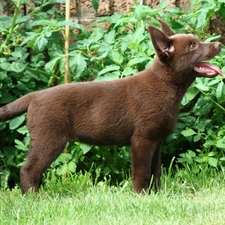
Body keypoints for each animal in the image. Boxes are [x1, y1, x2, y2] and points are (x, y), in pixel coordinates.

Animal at [0, 18, 223, 193]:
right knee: (28, 170)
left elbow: (156, 171)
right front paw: (142, 195)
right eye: (193, 46)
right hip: (49, 139)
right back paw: (34, 197)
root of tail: (33, 96)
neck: (165, 85)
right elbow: (142, 172)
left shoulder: (156, 141)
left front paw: (157, 194)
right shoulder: (142, 140)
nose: (219, 44)